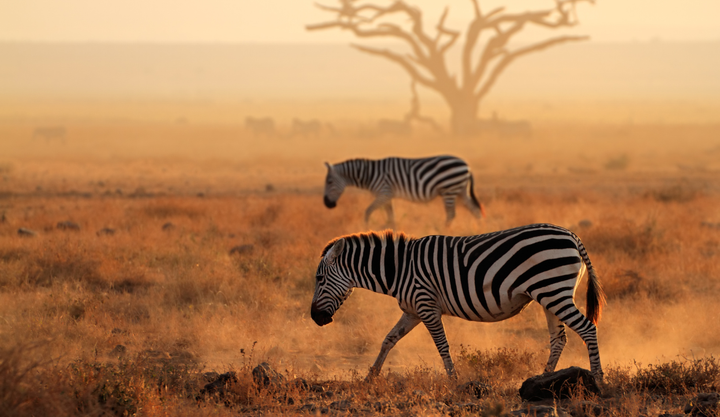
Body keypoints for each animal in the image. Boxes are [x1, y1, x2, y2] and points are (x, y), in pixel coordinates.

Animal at [310, 224, 606, 381]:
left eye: (320, 279)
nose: (315, 318)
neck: (400, 269)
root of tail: (572, 235)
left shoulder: (427, 306)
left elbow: (442, 345)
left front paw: (453, 380)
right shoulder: (412, 311)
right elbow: (388, 340)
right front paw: (370, 377)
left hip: (554, 291)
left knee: (587, 328)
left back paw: (598, 380)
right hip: (549, 295)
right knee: (558, 339)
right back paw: (543, 378)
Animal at [323, 156, 484, 226]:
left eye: (329, 182)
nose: (326, 204)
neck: (370, 174)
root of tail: (467, 166)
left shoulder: (384, 192)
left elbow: (368, 211)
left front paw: (366, 228)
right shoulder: (387, 196)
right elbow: (391, 216)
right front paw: (390, 230)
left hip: (449, 189)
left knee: (451, 214)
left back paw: (443, 231)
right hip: (460, 190)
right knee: (475, 209)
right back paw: (479, 228)